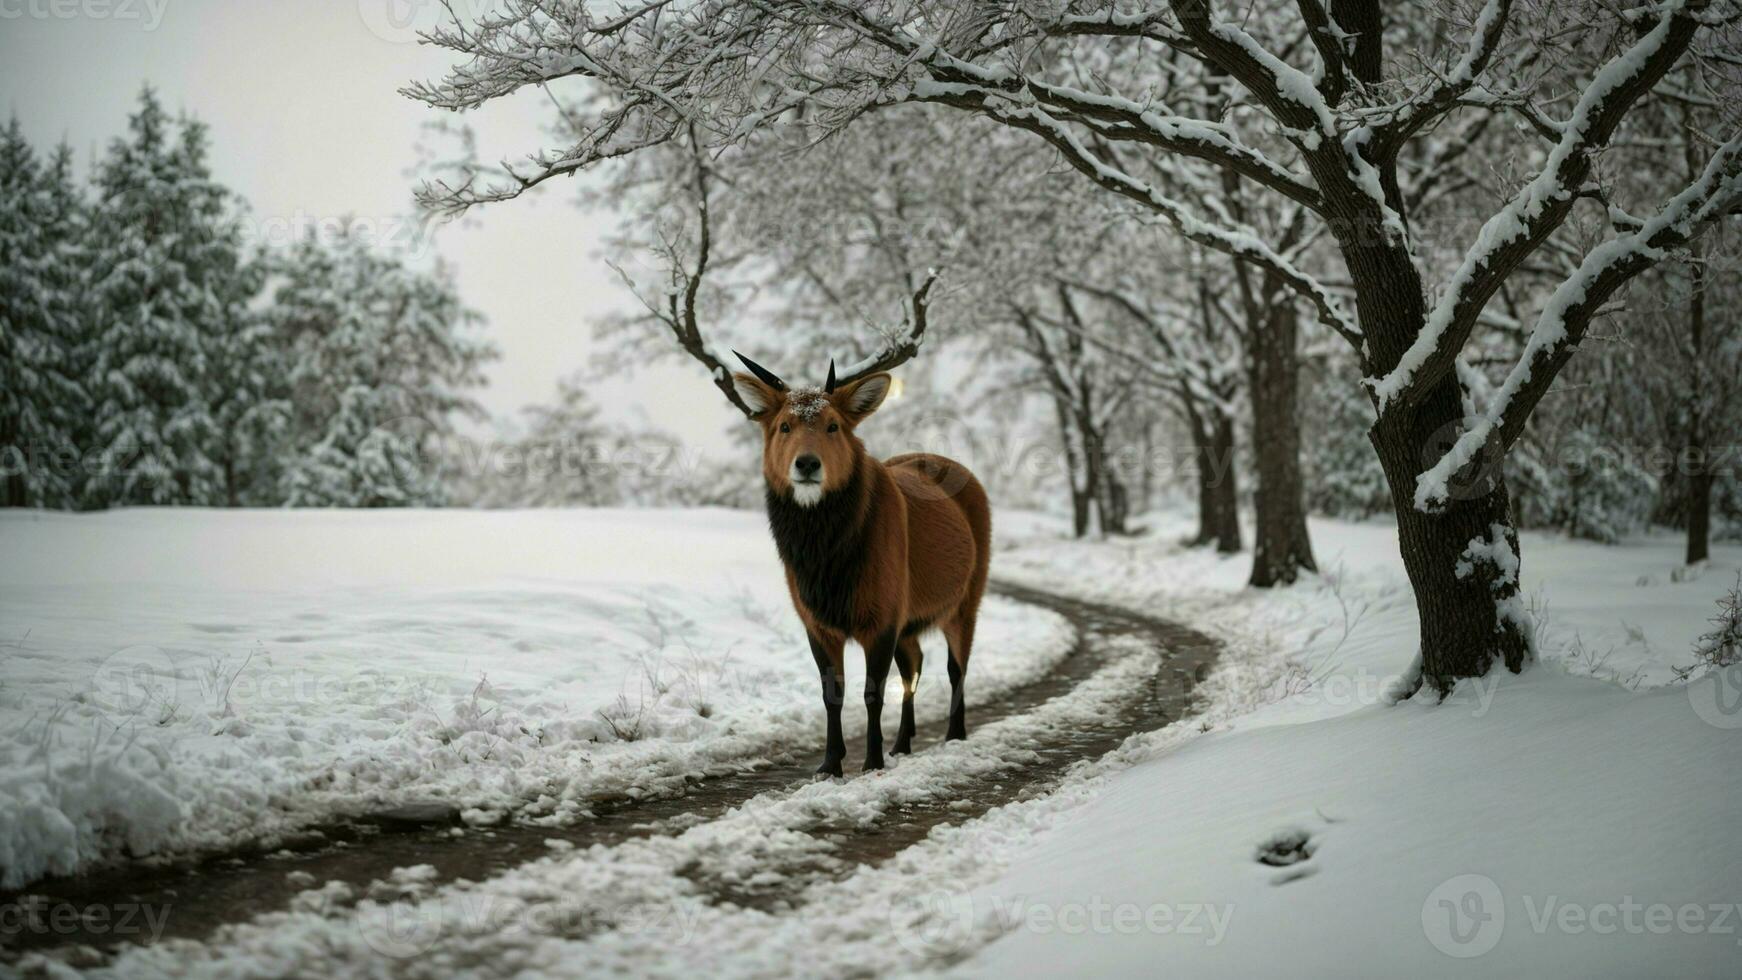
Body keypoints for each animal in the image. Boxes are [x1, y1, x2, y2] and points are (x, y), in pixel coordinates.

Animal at [724, 351, 989, 776]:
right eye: (784, 425)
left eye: (833, 425)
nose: (807, 464)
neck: (825, 563)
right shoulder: (817, 622)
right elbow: (833, 693)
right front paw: (830, 763)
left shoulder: (882, 614)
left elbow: (872, 693)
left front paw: (872, 761)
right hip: (910, 619)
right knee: (915, 665)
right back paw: (903, 742)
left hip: (967, 599)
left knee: (956, 667)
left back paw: (954, 734)